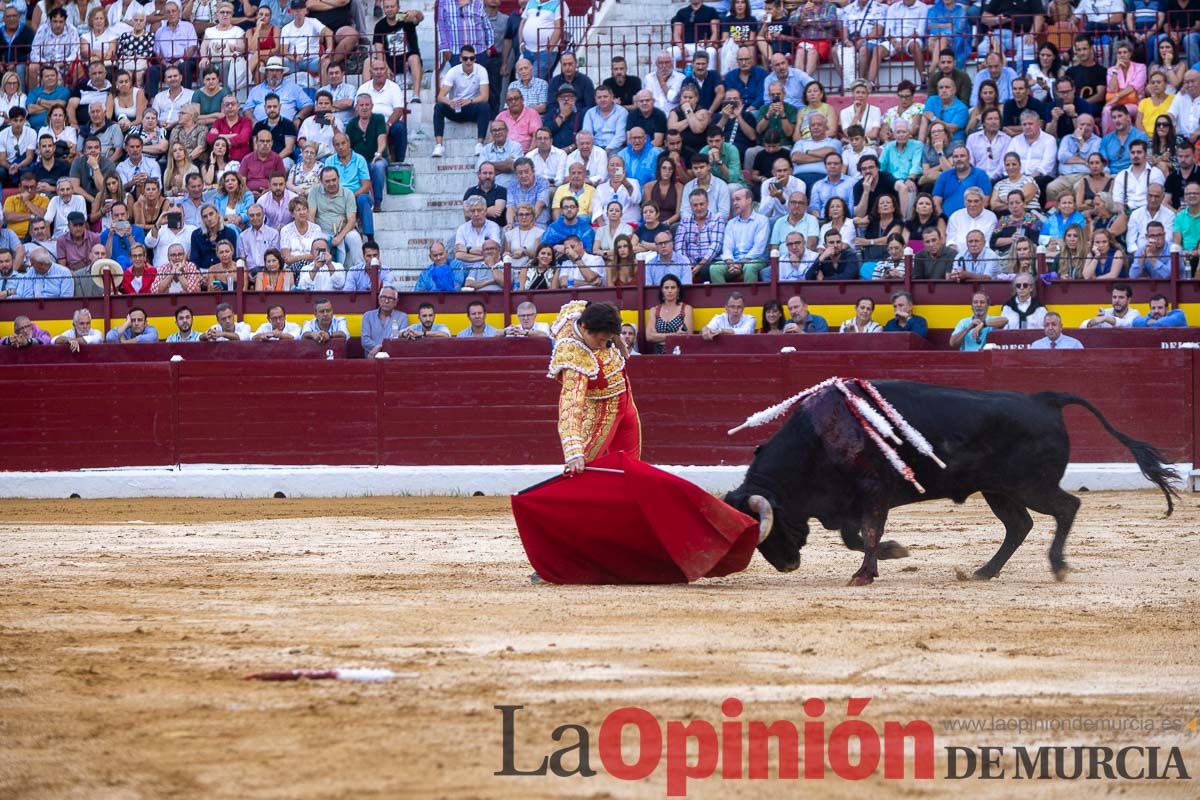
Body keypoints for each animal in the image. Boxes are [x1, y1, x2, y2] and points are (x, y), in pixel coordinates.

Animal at [724, 381, 1176, 587]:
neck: (819, 439)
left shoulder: (873, 493)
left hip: (1031, 486)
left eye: (767, 530)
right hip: (999, 491)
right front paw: (893, 553)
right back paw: (984, 571)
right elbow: (856, 537)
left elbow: (867, 533)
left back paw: (1058, 565)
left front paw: (865, 574)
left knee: (1066, 508)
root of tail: (1044, 399)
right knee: (1019, 526)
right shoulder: (849, 503)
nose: (787, 566)